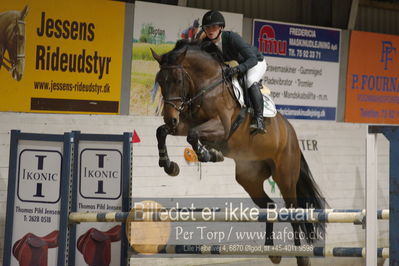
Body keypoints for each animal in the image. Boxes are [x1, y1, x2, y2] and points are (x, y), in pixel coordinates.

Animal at [152, 40, 326, 266]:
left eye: (178, 80)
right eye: (160, 81)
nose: (170, 117)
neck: (207, 85)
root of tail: (292, 134)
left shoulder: (222, 127)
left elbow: (193, 135)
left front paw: (209, 154)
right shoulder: (184, 124)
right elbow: (163, 131)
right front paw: (169, 165)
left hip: (285, 177)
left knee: (293, 210)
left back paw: (301, 256)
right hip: (249, 178)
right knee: (270, 206)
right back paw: (271, 250)